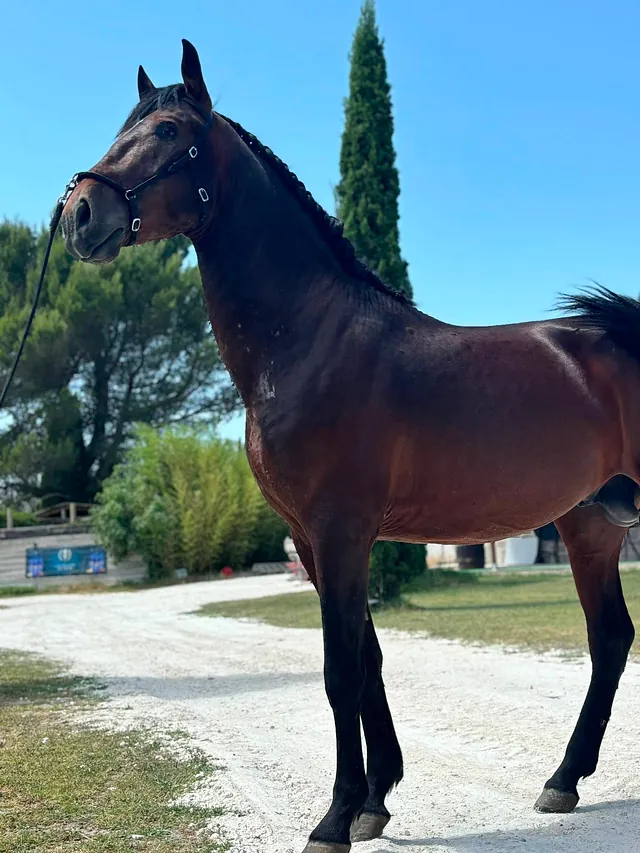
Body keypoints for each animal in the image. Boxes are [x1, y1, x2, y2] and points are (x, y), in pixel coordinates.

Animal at [61, 39, 640, 852]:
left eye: (170, 130)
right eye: (126, 125)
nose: (80, 213)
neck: (310, 339)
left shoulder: (341, 532)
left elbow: (341, 671)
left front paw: (334, 815)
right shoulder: (314, 539)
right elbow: (367, 660)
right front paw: (374, 799)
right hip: (589, 525)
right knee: (610, 638)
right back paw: (563, 780)